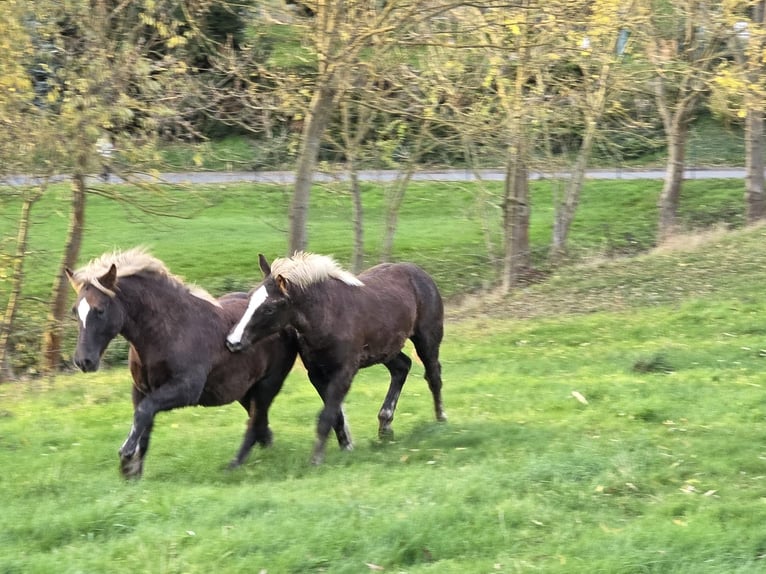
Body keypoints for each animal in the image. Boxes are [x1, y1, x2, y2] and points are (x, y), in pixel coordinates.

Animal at [66, 248, 298, 478]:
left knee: (254, 422)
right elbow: (144, 423)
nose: (83, 361)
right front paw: (132, 472)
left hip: (266, 385)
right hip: (245, 391)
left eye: (100, 310)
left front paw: (126, 455)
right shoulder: (141, 389)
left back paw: (233, 465)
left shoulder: (186, 389)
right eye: (75, 310)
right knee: (258, 420)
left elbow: (143, 412)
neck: (168, 333)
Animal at [225, 252, 446, 465]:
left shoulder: (345, 371)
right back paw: (385, 426)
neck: (328, 315)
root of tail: (420, 273)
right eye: (250, 299)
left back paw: (441, 421)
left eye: (269, 308)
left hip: (426, 338)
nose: (233, 341)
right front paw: (346, 448)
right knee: (402, 367)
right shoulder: (316, 374)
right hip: (385, 350)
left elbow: (327, 416)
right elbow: (336, 415)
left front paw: (316, 460)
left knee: (433, 375)